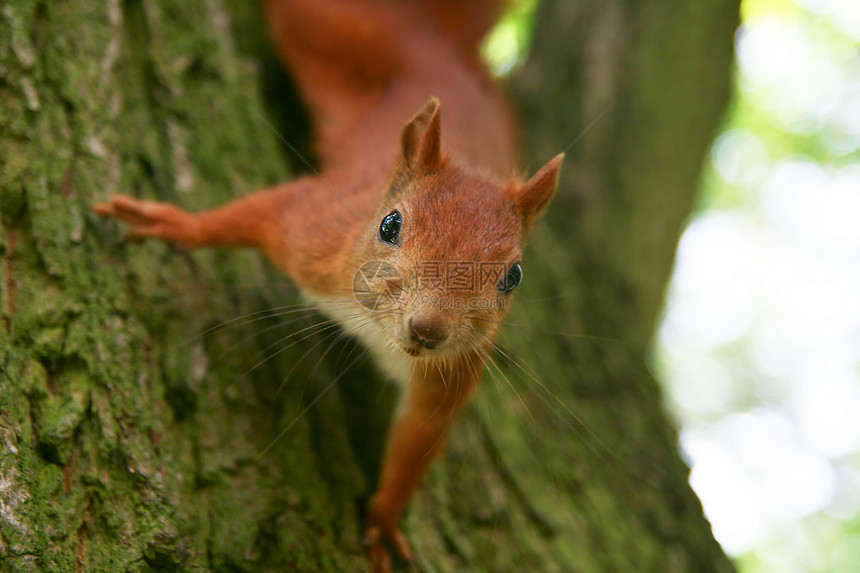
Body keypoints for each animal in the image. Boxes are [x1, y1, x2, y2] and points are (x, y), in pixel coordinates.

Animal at [95, 2, 564, 568]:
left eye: (513, 276)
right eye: (389, 225)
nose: (428, 330)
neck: (375, 328)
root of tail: (435, 44)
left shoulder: (454, 369)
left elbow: (417, 441)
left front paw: (383, 520)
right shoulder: (315, 230)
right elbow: (258, 213)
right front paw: (176, 224)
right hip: (327, 26)